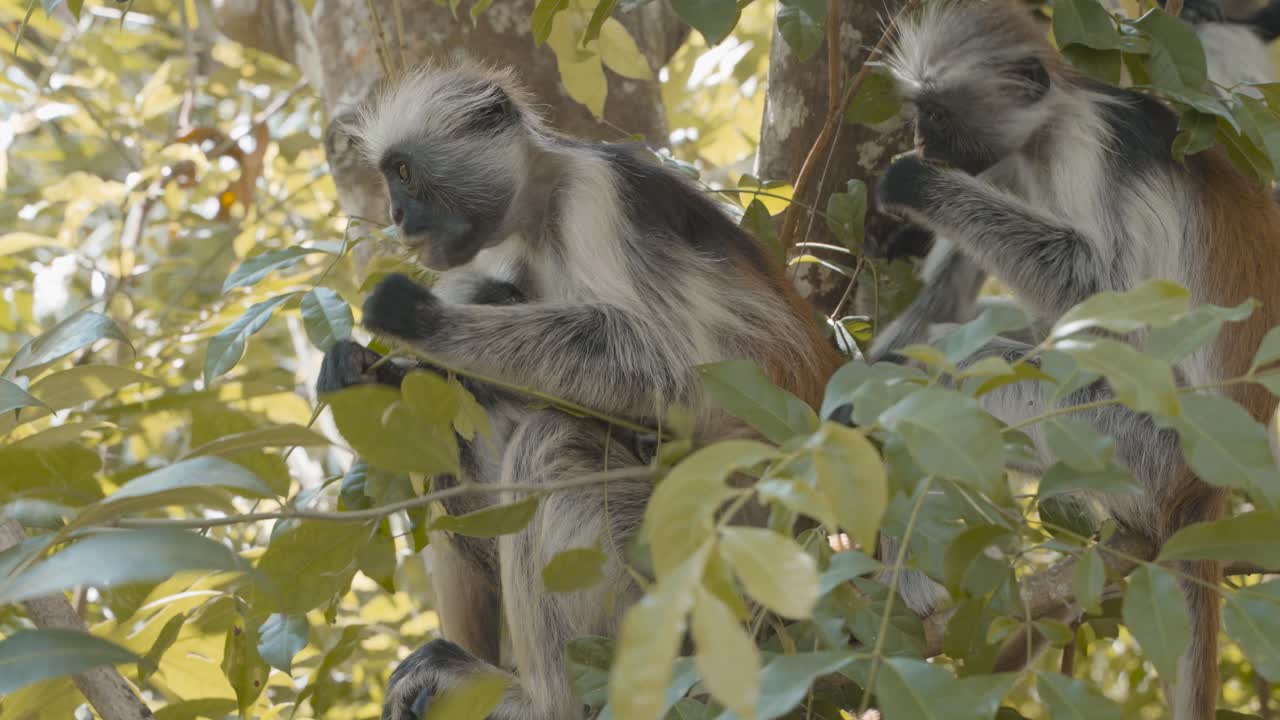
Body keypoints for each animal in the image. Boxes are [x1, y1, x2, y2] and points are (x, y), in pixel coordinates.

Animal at [313, 62, 845, 720]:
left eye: (405, 173)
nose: (394, 213)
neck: (542, 212)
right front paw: (366, 368)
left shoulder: (598, 195)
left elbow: (668, 368)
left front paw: (415, 322)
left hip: (707, 550)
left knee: (548, 439)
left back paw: (541, 703)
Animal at [861, 1, 1280, 718]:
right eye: (918, 112)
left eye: (936, 114)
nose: (920, 141)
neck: (1049, 128)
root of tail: (1207, 488)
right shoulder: (1005, 165)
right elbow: (960, 298)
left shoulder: (1092, 145)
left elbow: (1105, 292)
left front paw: (918, 185)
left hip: (1140, 450)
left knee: (967, 377)